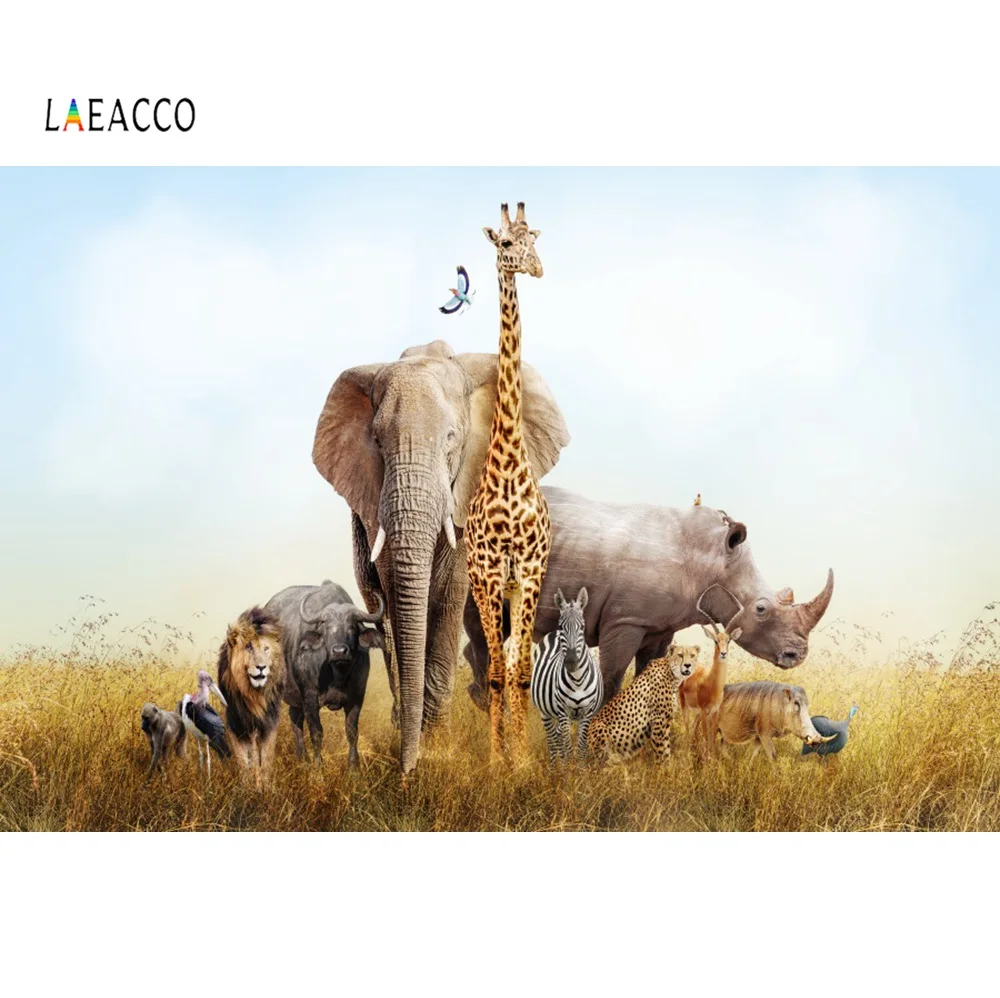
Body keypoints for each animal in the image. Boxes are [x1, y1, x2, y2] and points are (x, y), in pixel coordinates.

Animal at [216, 606, 286, 787]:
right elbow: (243, 760)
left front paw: (265, 788)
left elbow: (265, 759)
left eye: (266, 649)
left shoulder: (268, 724)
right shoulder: (236, 723)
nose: (261, 667)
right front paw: (247, 788)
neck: (254, 695)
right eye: (249, 647)